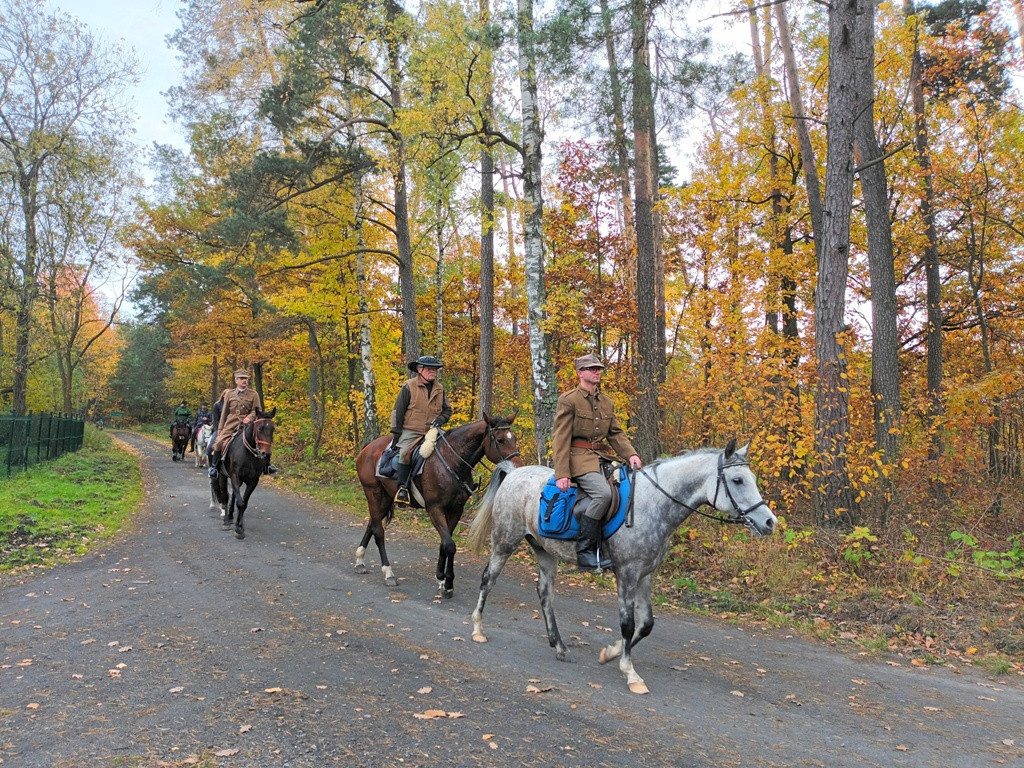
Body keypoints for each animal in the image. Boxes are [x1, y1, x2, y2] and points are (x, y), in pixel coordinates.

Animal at [356, 415, 524, 602]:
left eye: (514, 438)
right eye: (500, 440)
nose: (518, 467)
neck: (451, 462)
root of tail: (368, 448)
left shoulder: (456, 510)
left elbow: (445, 543)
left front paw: (441, 579)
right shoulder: (435, 509)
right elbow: (450, 545)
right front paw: (448, 584)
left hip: (384, 498)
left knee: (372, 524)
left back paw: (360, 561)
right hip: (373, 493)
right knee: (378, 531)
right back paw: (388, 572)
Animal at [468, 438, 778, 696]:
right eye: (737, 480)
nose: (769, 522)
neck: (652, 504)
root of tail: (515, 473)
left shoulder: (645, 575)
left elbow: (646, 624)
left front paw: (611, 653)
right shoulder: (627, 573)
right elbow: (628, 624)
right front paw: (631, 673)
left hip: (545, 551)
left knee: (545, 593)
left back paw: (559, 646)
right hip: (505, 542)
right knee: (488, 579)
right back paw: (478, 629)